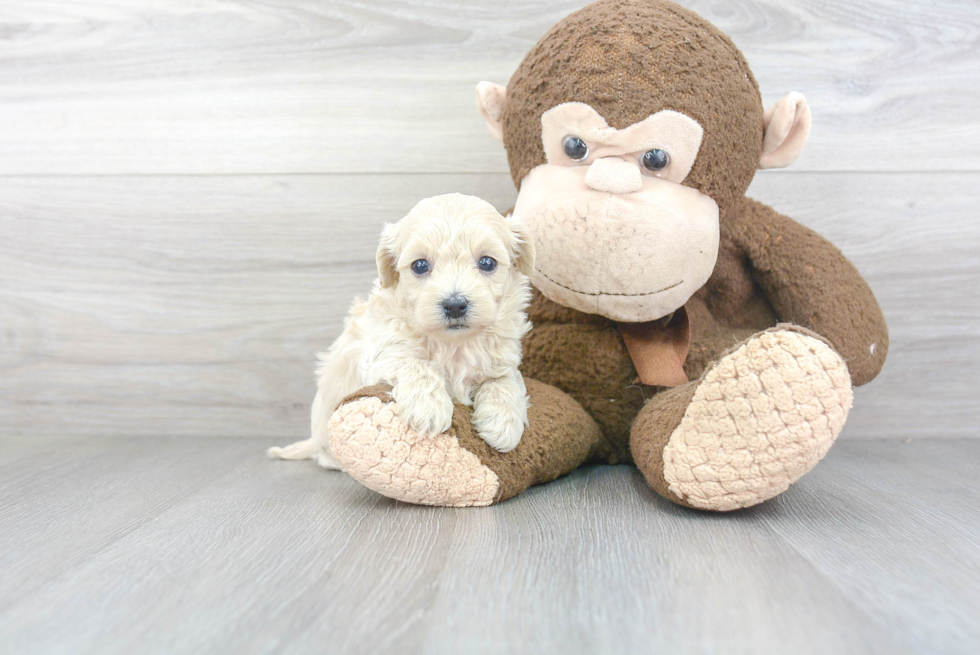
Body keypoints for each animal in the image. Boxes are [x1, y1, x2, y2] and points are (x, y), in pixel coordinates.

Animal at [268, 192, 536, 468]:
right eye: (420, 266)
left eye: (486, 262)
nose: (454, 305)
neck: (453, 343)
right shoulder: (381, 352)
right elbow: (416, 364)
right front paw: (428, 408)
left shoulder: (504, 359)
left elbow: (506, 381)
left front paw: (503, 425)